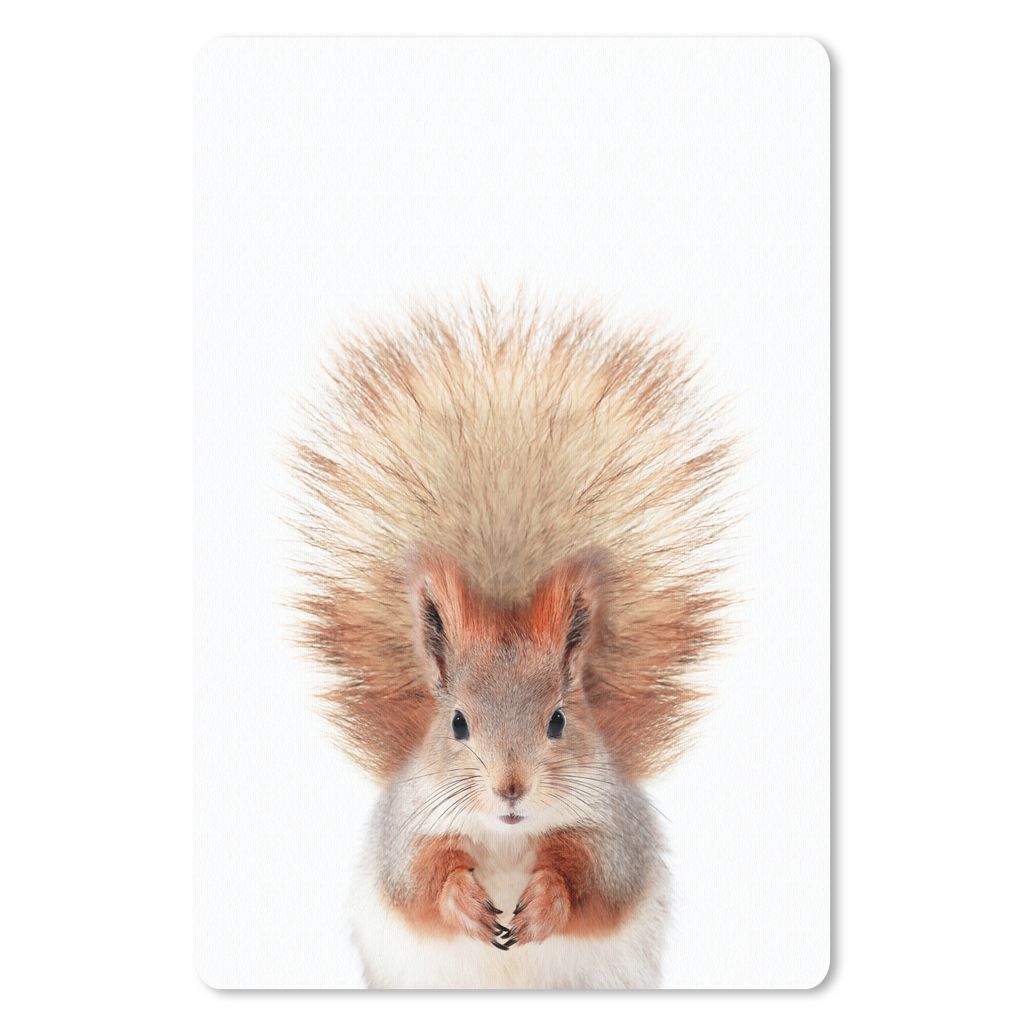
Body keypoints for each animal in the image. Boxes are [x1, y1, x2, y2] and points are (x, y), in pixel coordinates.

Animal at [289, 292, 734, 989]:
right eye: (457, 724)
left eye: (558, 721)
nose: (510, 788)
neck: (504, 836)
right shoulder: (406, 831)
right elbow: (419, 882)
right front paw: (464, 902)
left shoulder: (615, 833)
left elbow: (595, 881)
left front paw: (545, 902)